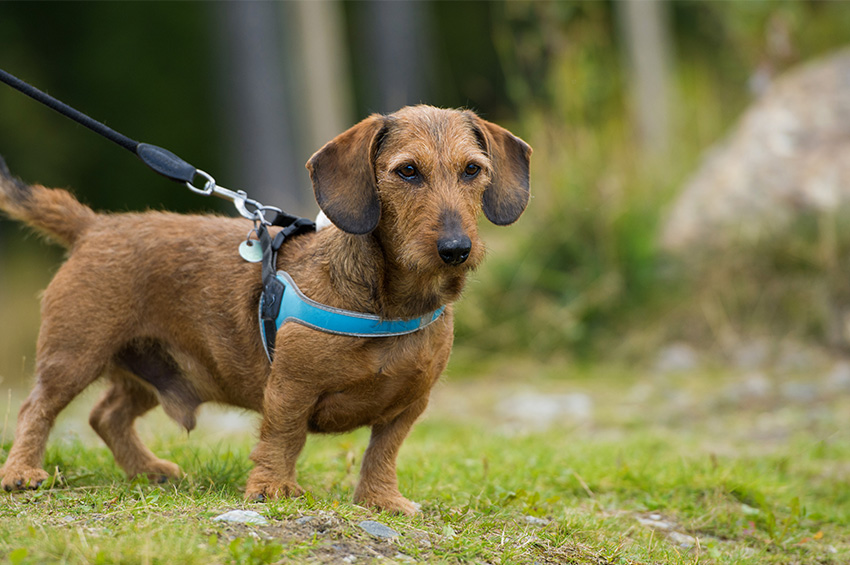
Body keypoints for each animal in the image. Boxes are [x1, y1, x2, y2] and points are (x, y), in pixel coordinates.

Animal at [0, 103, 528, 512]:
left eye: (472, 170)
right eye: (408, 171)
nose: (456, 249)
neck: (390, 304)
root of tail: (94, 226)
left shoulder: (409, 405)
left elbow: (383, 451)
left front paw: (381, 500)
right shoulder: (290, 387)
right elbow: (284, 435)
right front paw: (272, 487)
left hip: (157, 369)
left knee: (105, 415)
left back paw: (149, 470)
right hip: (74, 355)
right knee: (37, 408)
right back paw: (23, 472)